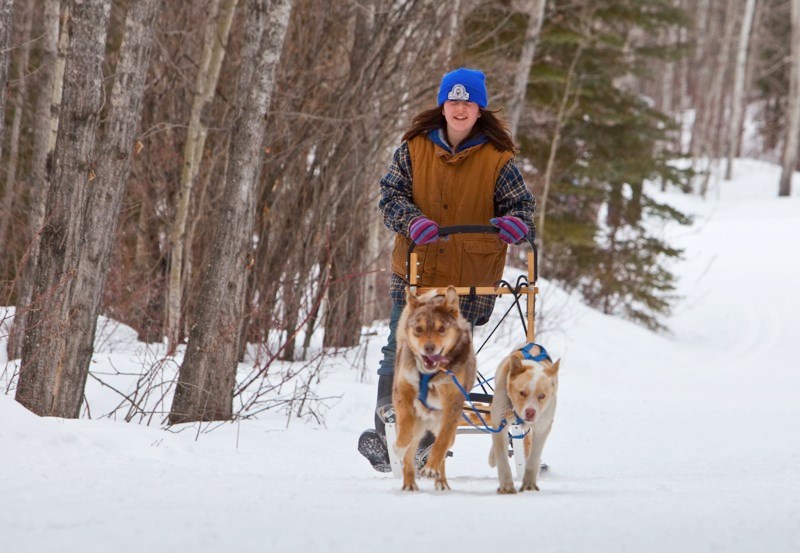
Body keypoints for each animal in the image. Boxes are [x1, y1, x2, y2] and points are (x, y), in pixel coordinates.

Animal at [392, 286, 476, 490]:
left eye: (442, 329)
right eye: (418, 329)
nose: (429, 348)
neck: (429, 375)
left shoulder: (452, 403)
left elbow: (442, 441)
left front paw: (432, 467)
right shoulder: (402, 390)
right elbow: (406, 421)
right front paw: (400, 443)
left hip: (447, 427)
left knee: (443, 447)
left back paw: (440, 479)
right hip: (419, 426)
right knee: (409, 454)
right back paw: (409, 482)